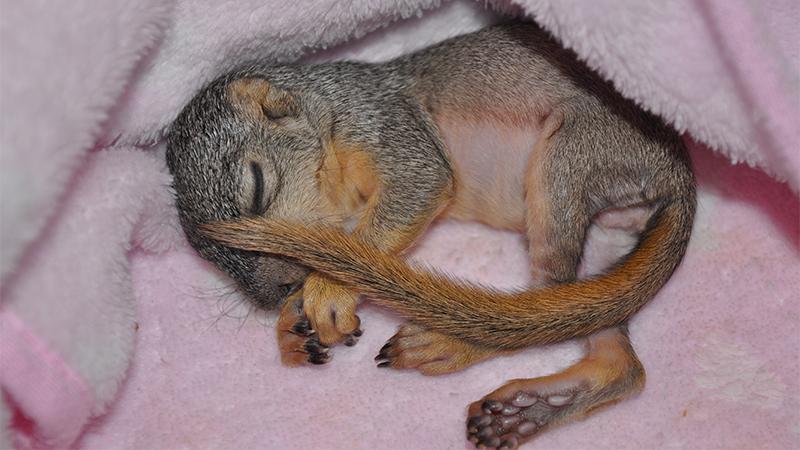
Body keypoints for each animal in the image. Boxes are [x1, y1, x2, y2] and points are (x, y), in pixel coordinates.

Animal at [167, 23, 695, 450]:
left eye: (257, 187)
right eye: (210, 255)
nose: (273, 292)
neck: (328, 110)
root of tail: (678, 174)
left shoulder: (384, 124)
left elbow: (416, 188)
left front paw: (327, 291)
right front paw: (291, 328)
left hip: (574, 154)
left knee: (548, 298)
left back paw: (450, 342)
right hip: (607, 243)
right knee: (610, 349)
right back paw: (526, 412)